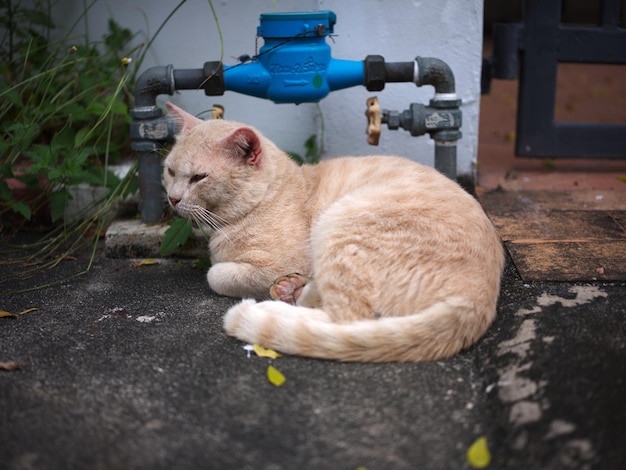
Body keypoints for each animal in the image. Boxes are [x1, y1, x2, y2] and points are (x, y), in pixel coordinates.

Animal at [162, 101, 502, 362]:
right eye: (170, 171)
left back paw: (284, 301)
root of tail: (479, 300)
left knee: (346, 320)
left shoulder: (275, 264)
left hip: (343, 221)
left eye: (199, 178)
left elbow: (216, 274)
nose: (173, 198)